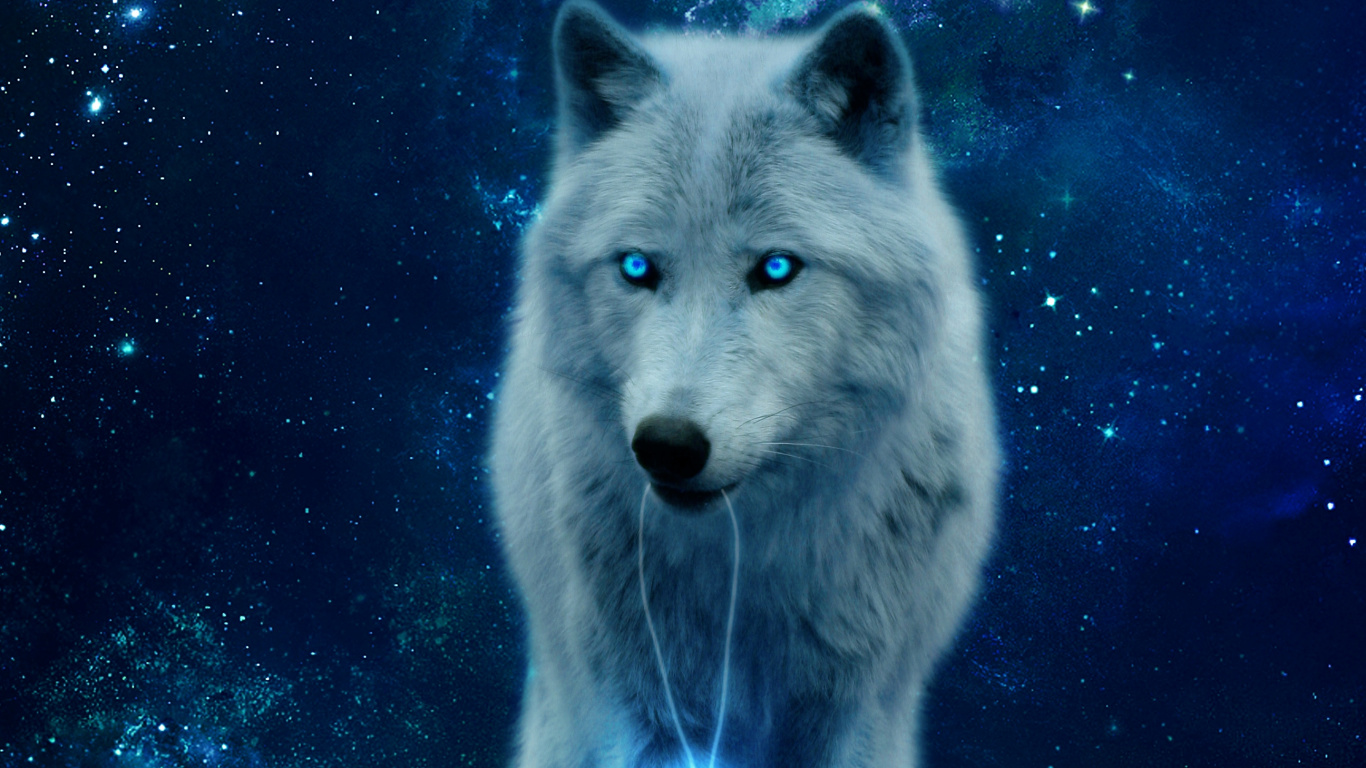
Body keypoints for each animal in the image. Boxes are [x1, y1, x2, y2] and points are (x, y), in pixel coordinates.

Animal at [489, 2, 999, 766]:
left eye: (777, 268)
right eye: (636, 268)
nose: (668, 445)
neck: (744, 564)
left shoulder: (852, 710)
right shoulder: (642, 711)